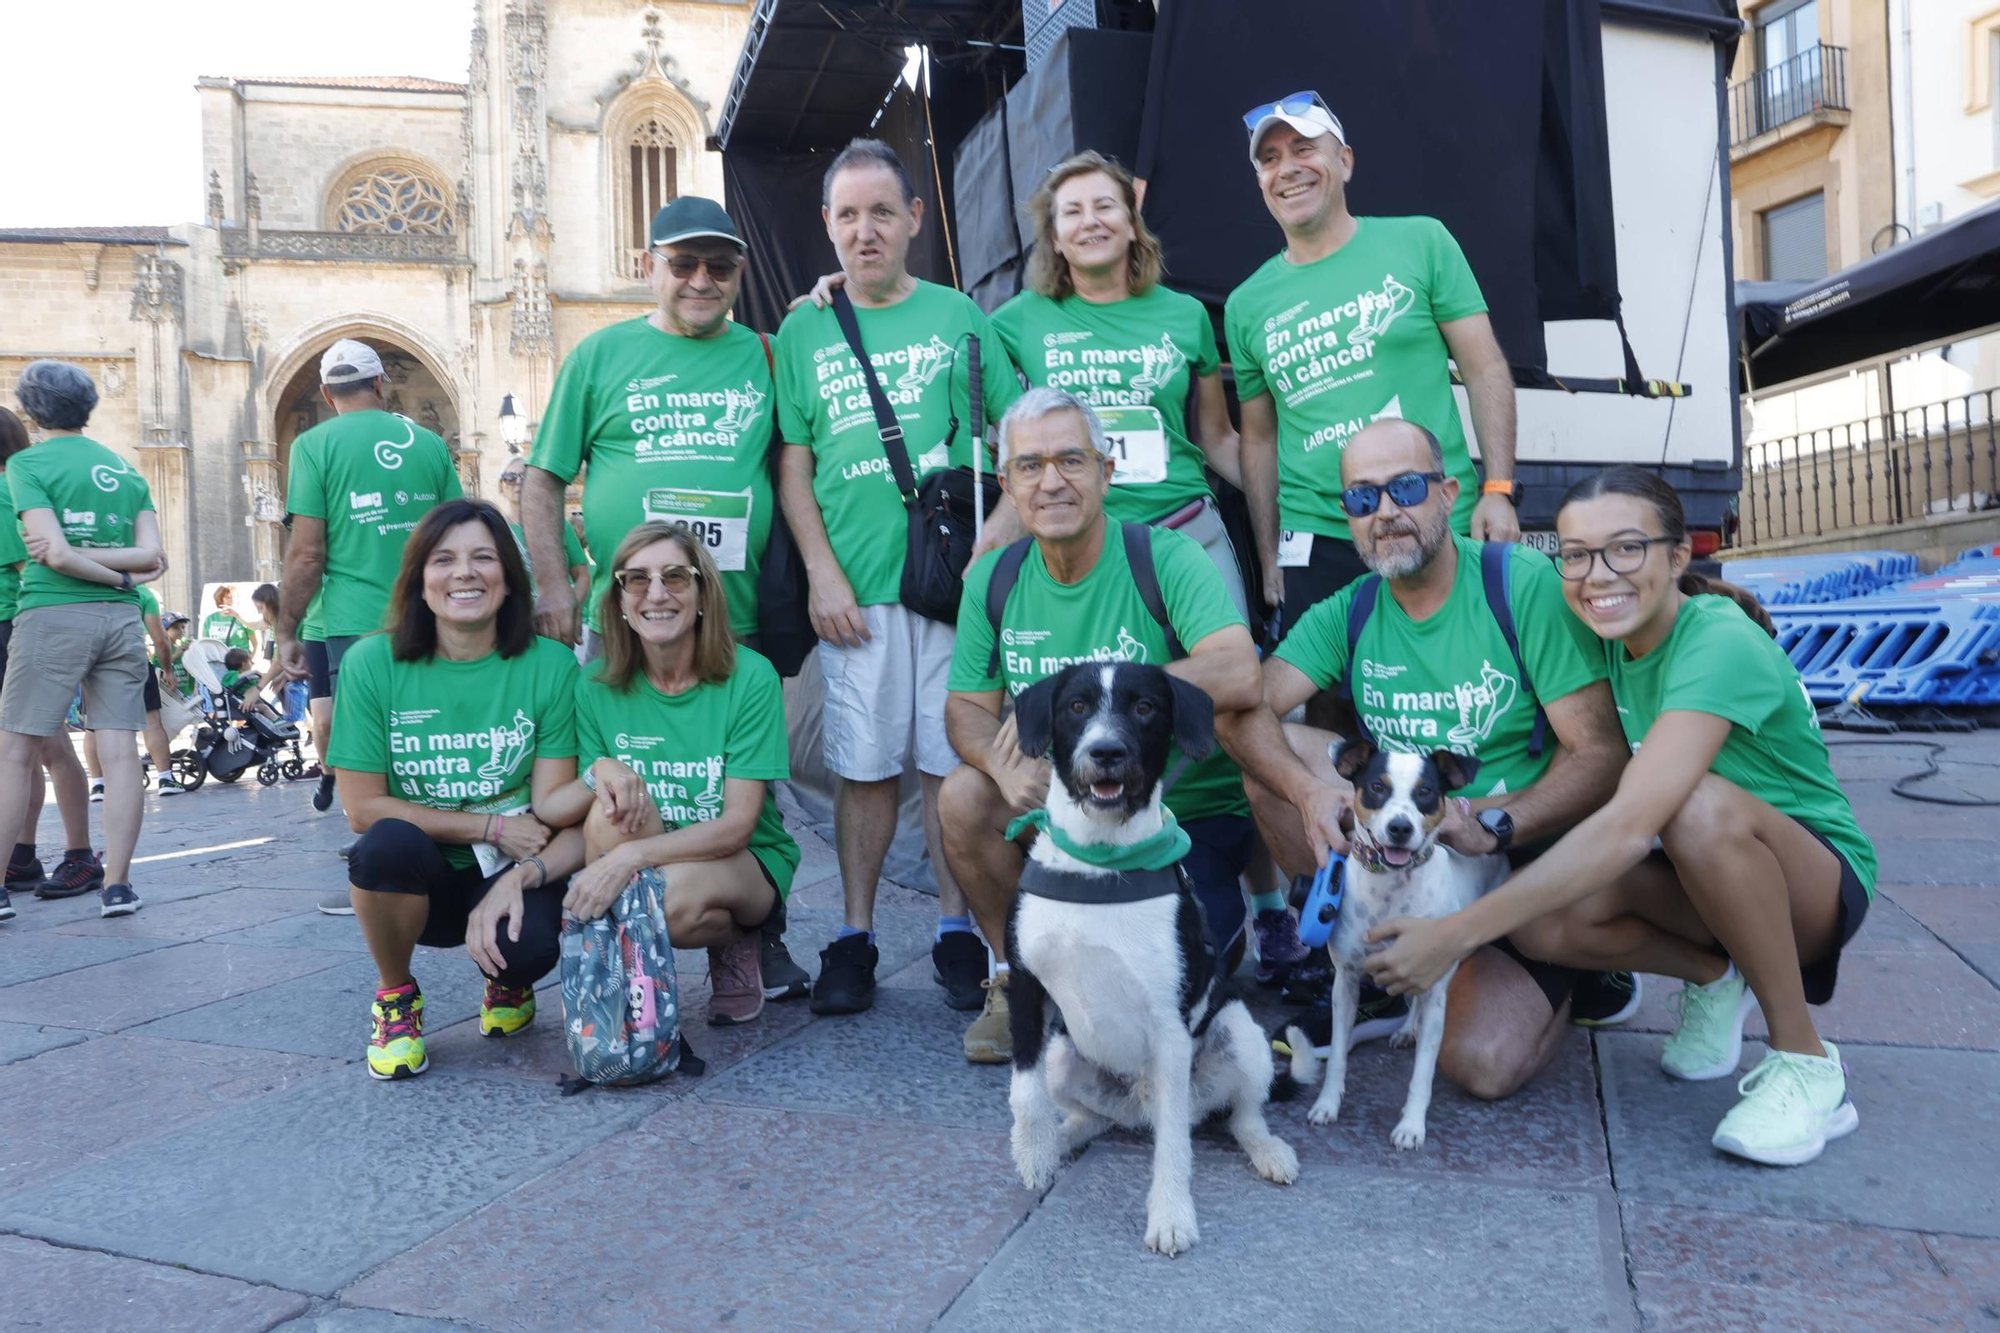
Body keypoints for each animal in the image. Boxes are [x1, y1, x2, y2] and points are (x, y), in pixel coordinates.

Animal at [1008, 660, 1304, 1248]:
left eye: (1144, 707)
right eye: (1076, 706)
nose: (1106, 752)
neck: (1099, 863)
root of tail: (1135, 1103)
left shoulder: (1170, 1027)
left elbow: (1174, 1146)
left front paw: (1170, 1215)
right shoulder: (1027, 986)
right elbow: (1024, 1092)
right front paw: (1034, 1154)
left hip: (1240, 1036)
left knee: (1239, 1115)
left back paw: (1269, 1151)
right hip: (1064, 1055)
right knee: (1094, 1117)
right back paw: (1064, 1135)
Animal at [1288, 736, 1504, 1152]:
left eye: (1425, 792)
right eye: (1377, 787)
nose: (1400, 827)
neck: (1389, 888)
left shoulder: (1435, 990)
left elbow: (1423, 1072)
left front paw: (1411, 1125)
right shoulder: (1345, 984)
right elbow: (1337, 1055)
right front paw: (1327, 1104)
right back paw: (1405, 1029)